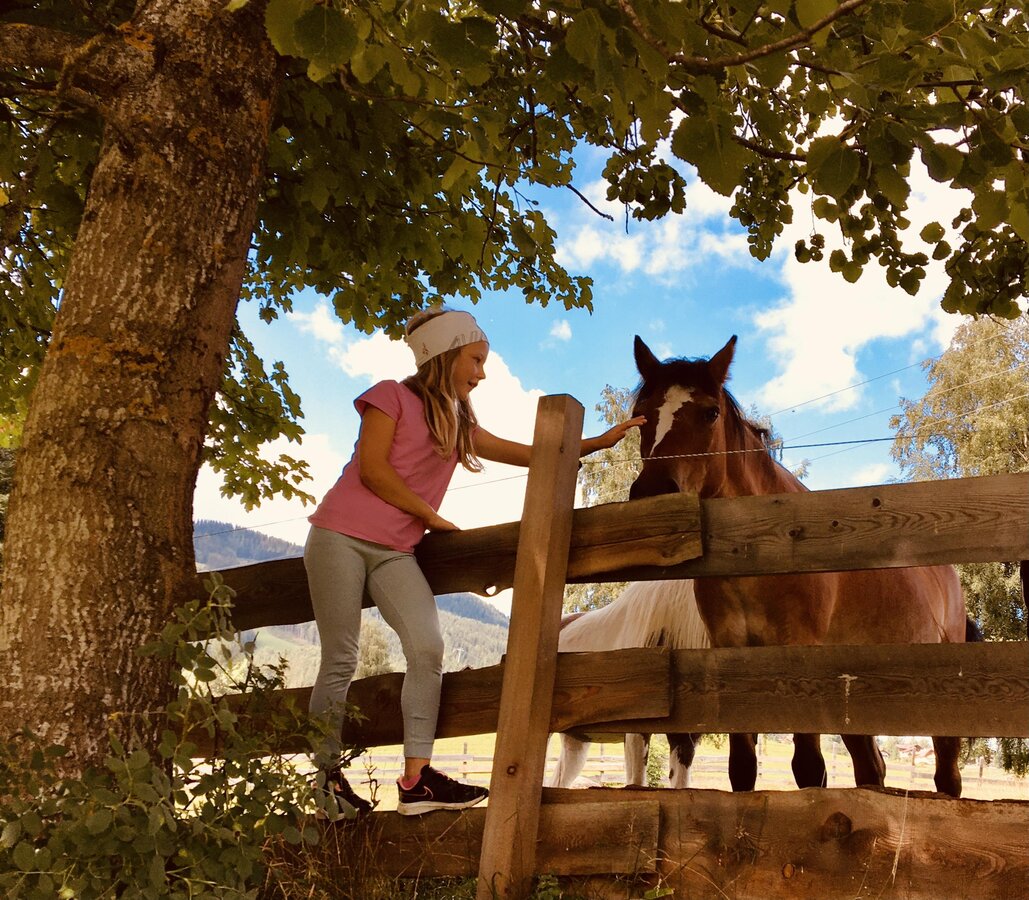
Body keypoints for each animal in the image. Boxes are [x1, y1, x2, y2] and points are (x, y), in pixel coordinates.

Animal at [628, 335, 973, 797]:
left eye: (710, 411)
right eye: (641, 413)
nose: (651, 493)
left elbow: (809, 770)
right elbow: (742, 769)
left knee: (946, 776)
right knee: (871, 769)